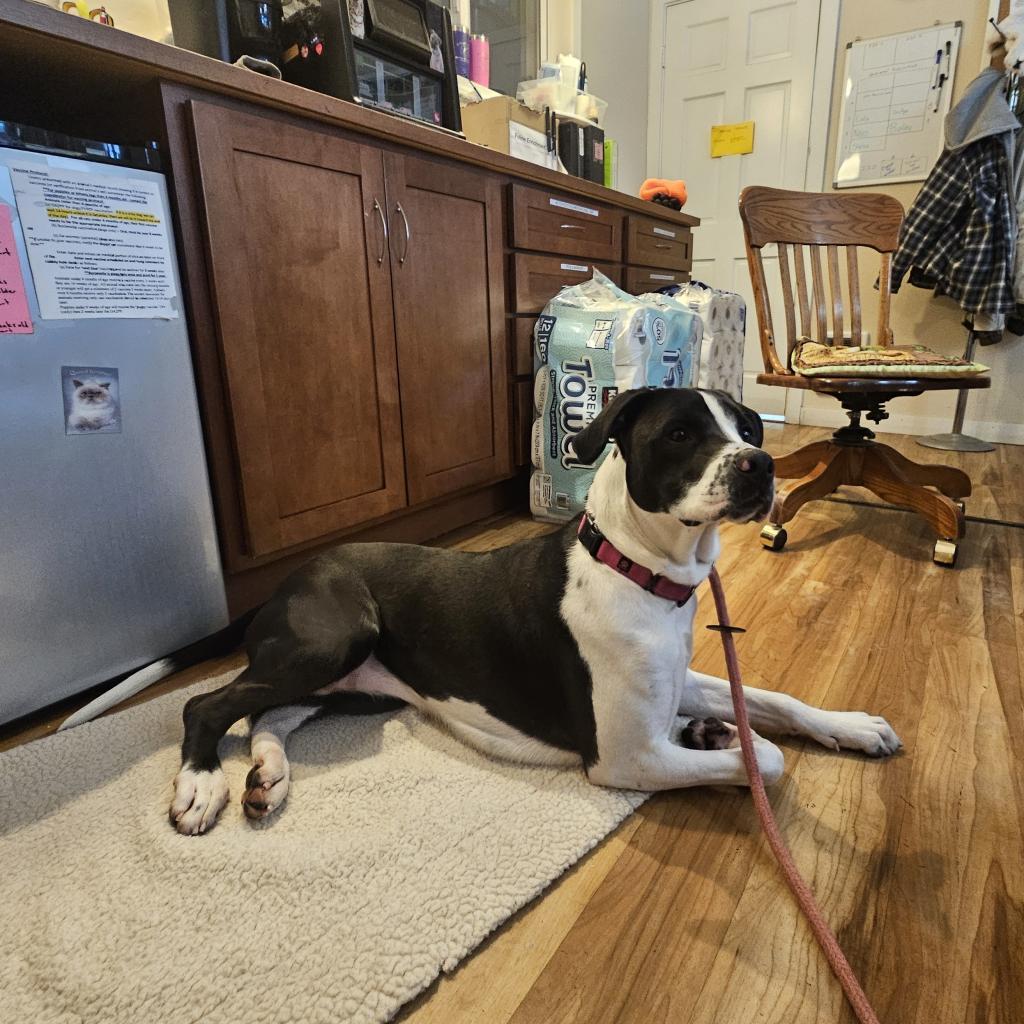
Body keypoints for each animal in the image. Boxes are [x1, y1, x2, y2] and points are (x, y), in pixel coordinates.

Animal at [172, 387, 901, 835]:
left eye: (747, 428)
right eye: (680, 433)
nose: (761, 464)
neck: (636, 571)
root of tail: (290, 576)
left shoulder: (675, 679)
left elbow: (773, 701)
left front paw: (849, 726)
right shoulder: (625, 759)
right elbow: (768, 760)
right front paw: (724, 742)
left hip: (364, 686)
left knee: (267, 712)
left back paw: (268, 776)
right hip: (338, 638)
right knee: (207, 705)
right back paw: (201, 786)